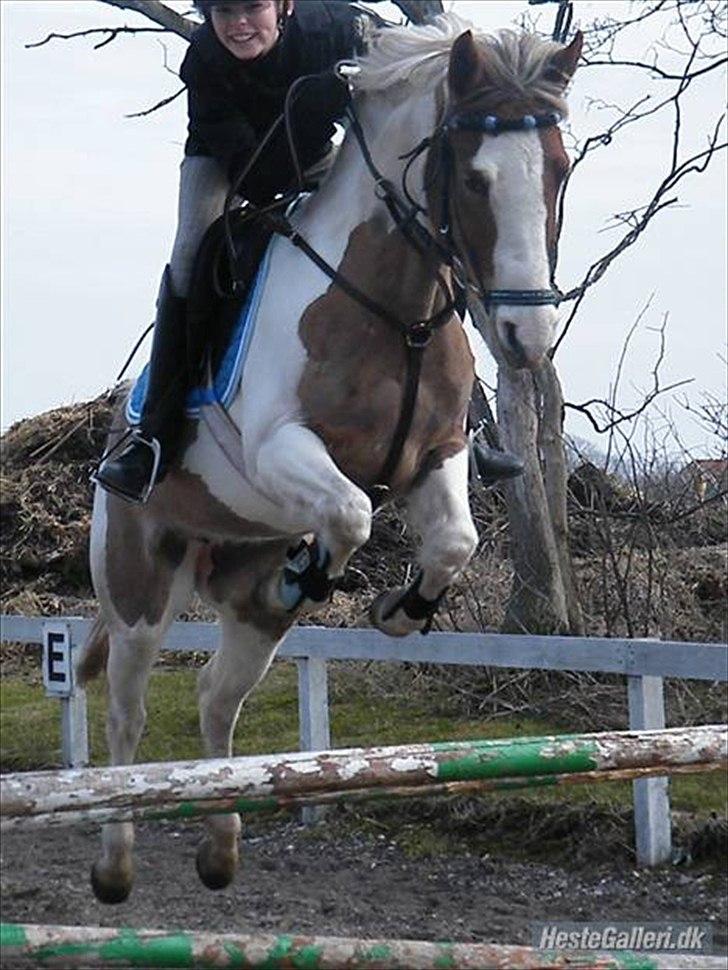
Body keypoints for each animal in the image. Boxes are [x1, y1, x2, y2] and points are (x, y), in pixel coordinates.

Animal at [78, 13, 580, 900]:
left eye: (556, 169)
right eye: (473, 177)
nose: (527, 337)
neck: (394, 307)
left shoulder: (436, 455)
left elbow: (454, 541)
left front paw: (400, 611)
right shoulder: (279, 447)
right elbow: (348, 511)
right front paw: (321, 573)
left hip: (246, 599)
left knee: (216, 696)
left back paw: (220, 848)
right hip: (139, 584)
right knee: (126, 711)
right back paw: (114, 865)